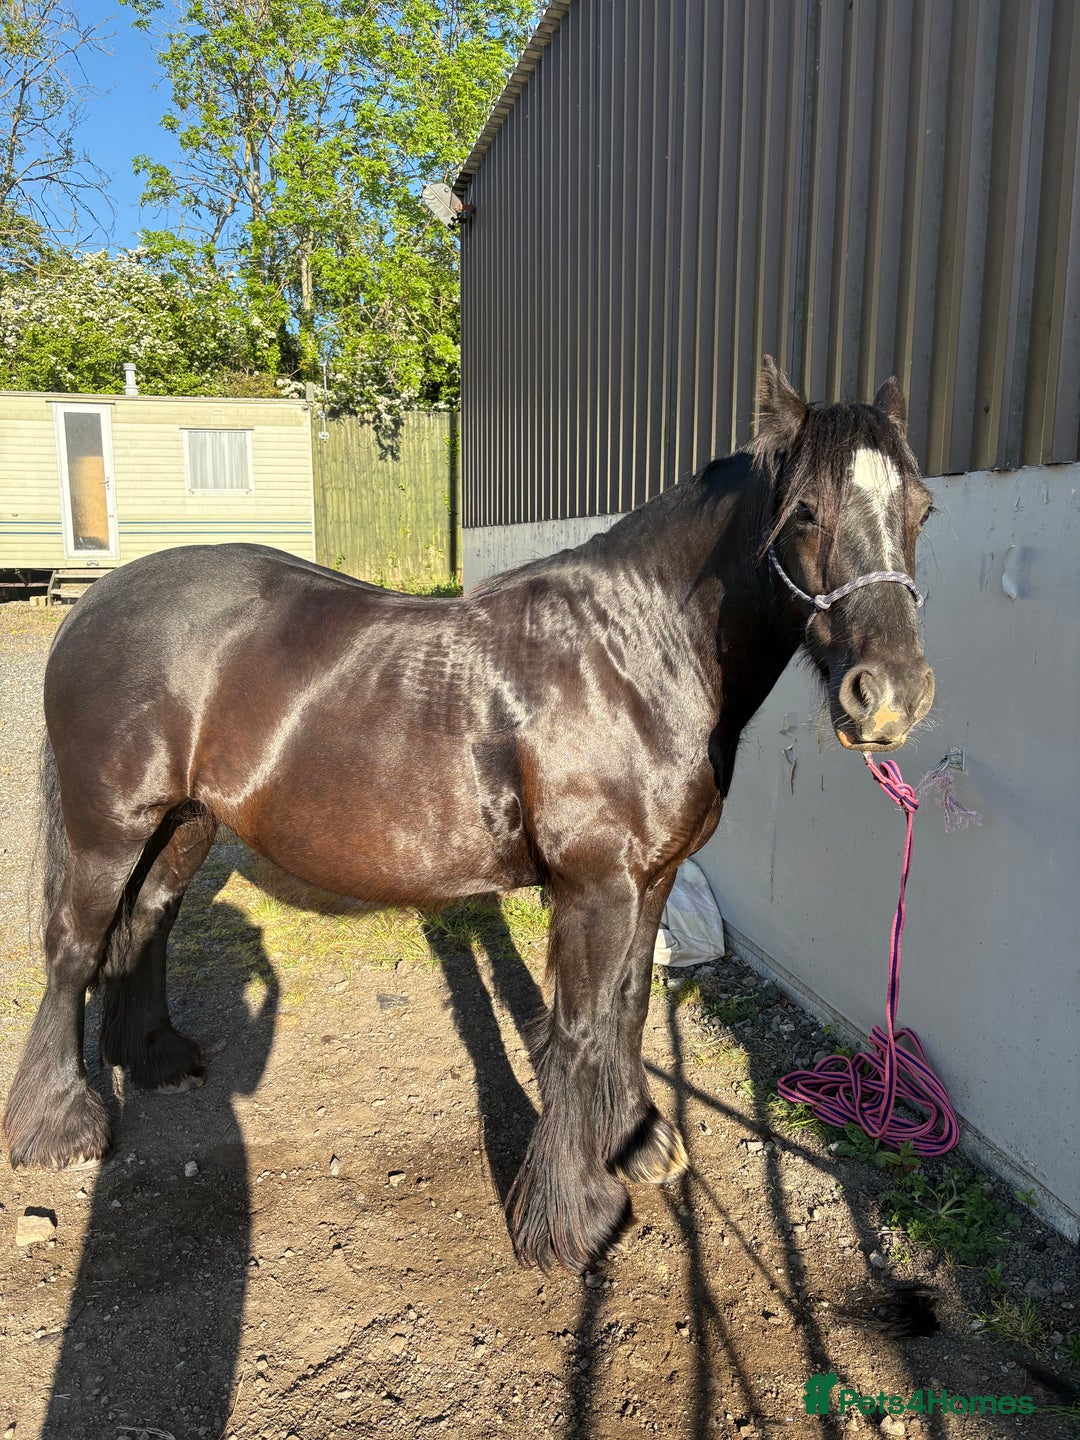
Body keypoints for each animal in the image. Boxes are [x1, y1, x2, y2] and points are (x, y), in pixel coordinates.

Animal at [3, 359, 936, 1273]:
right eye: (804, 511)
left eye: (922, 508)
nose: (891, 696)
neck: (634, 655)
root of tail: (97, 603)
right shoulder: (596, 886)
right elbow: (581, 1026)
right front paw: (572, 1217)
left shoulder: (653, 879)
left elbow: (629, 1007)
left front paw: (636, 1141)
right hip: (109, 829)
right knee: (75, 946)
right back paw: (59, 1126)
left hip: (185, 823)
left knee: (144, 925)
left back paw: (154, 1058)